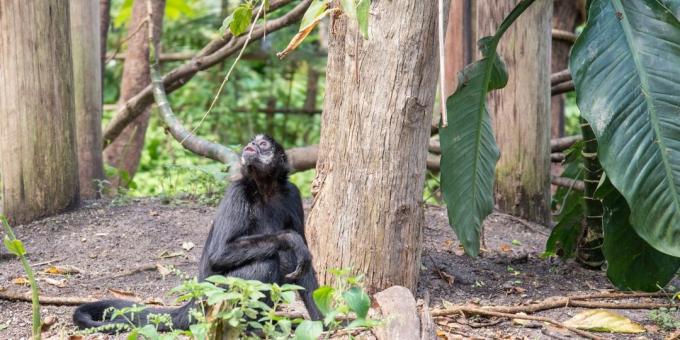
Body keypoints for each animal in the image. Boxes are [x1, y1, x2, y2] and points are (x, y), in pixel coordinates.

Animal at [73, 135, 322, 332]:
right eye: (253, 140)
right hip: (217, 296)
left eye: (263, 144)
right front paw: (290, 239)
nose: (251, 144)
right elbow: (220, 253)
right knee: (268, 261)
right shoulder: (238, 191)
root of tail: (197, 300)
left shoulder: (291, 193)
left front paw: (323, 323)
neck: (265, 189)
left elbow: (306, 263)